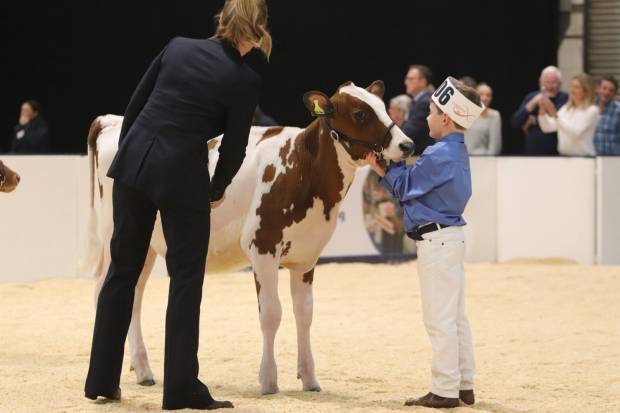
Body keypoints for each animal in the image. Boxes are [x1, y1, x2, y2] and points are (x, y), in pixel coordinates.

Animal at [85, 79, 414, 392]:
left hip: (150, 245)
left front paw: (309, 378)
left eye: (383, 107)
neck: (304, 168)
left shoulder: (307, 255)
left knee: (135, 293)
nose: (408, 144)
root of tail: (112, 121)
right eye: (360, 114)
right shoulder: (263, 245)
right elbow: (271, 313)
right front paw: (268, 381)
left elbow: (304, 314)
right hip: (117, 234)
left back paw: (142, 370)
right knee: (105, 287)